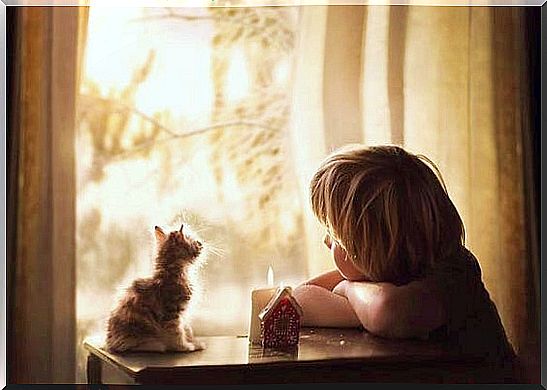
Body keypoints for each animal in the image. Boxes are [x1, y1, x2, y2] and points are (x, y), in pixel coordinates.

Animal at [106, 222, 204, 354]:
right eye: (193, 241)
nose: (200, 243)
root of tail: (110, 345)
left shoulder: (182, 314)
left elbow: (187, 329)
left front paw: (193, 342)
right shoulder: (172, 313)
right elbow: (177, 333)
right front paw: (185, 347)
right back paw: (157, 345)